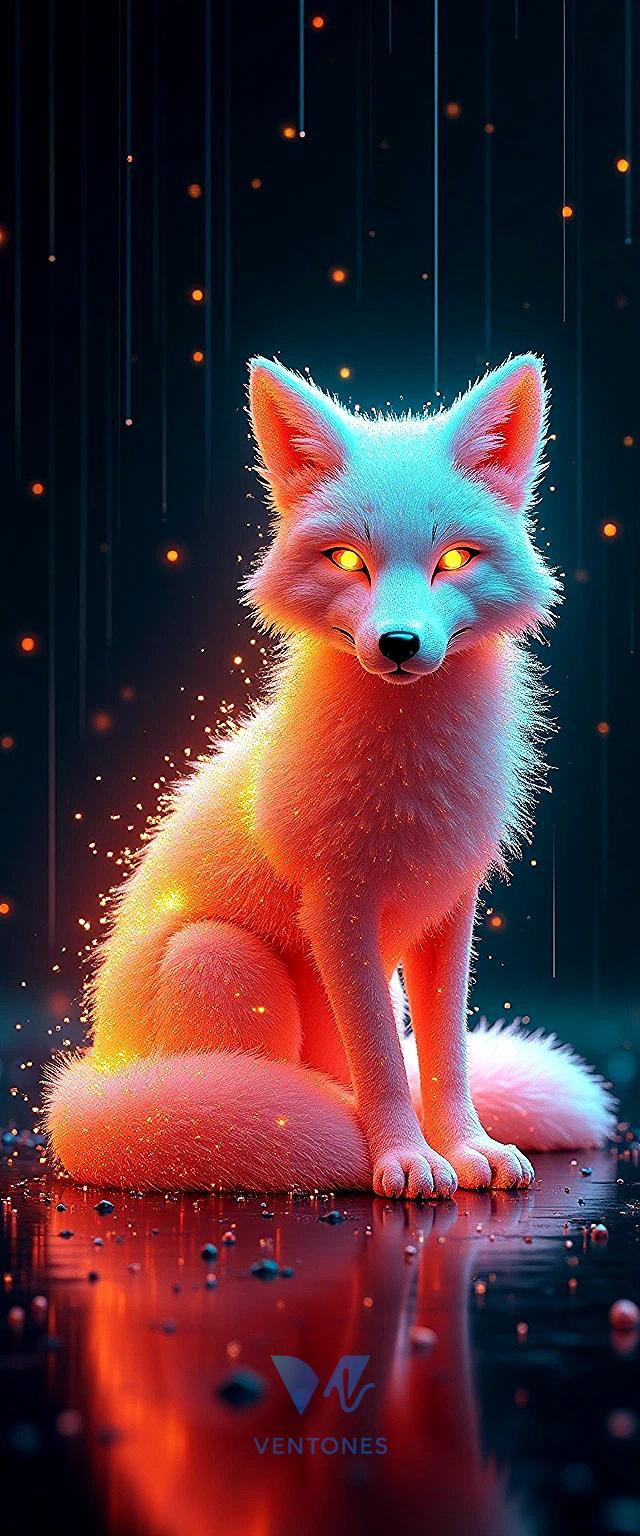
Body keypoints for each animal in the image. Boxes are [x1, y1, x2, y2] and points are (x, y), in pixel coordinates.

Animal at [46, 353, 615, 1198]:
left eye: (455, 559)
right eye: (347, 558)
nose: (401, 644)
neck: (410, 774)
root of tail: (97, 1075)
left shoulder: (449, 906)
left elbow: (444, 1057)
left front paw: (464, 1147)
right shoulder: (338, 906)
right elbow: (381, 1060)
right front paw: (402, 1157)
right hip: (220, 958)